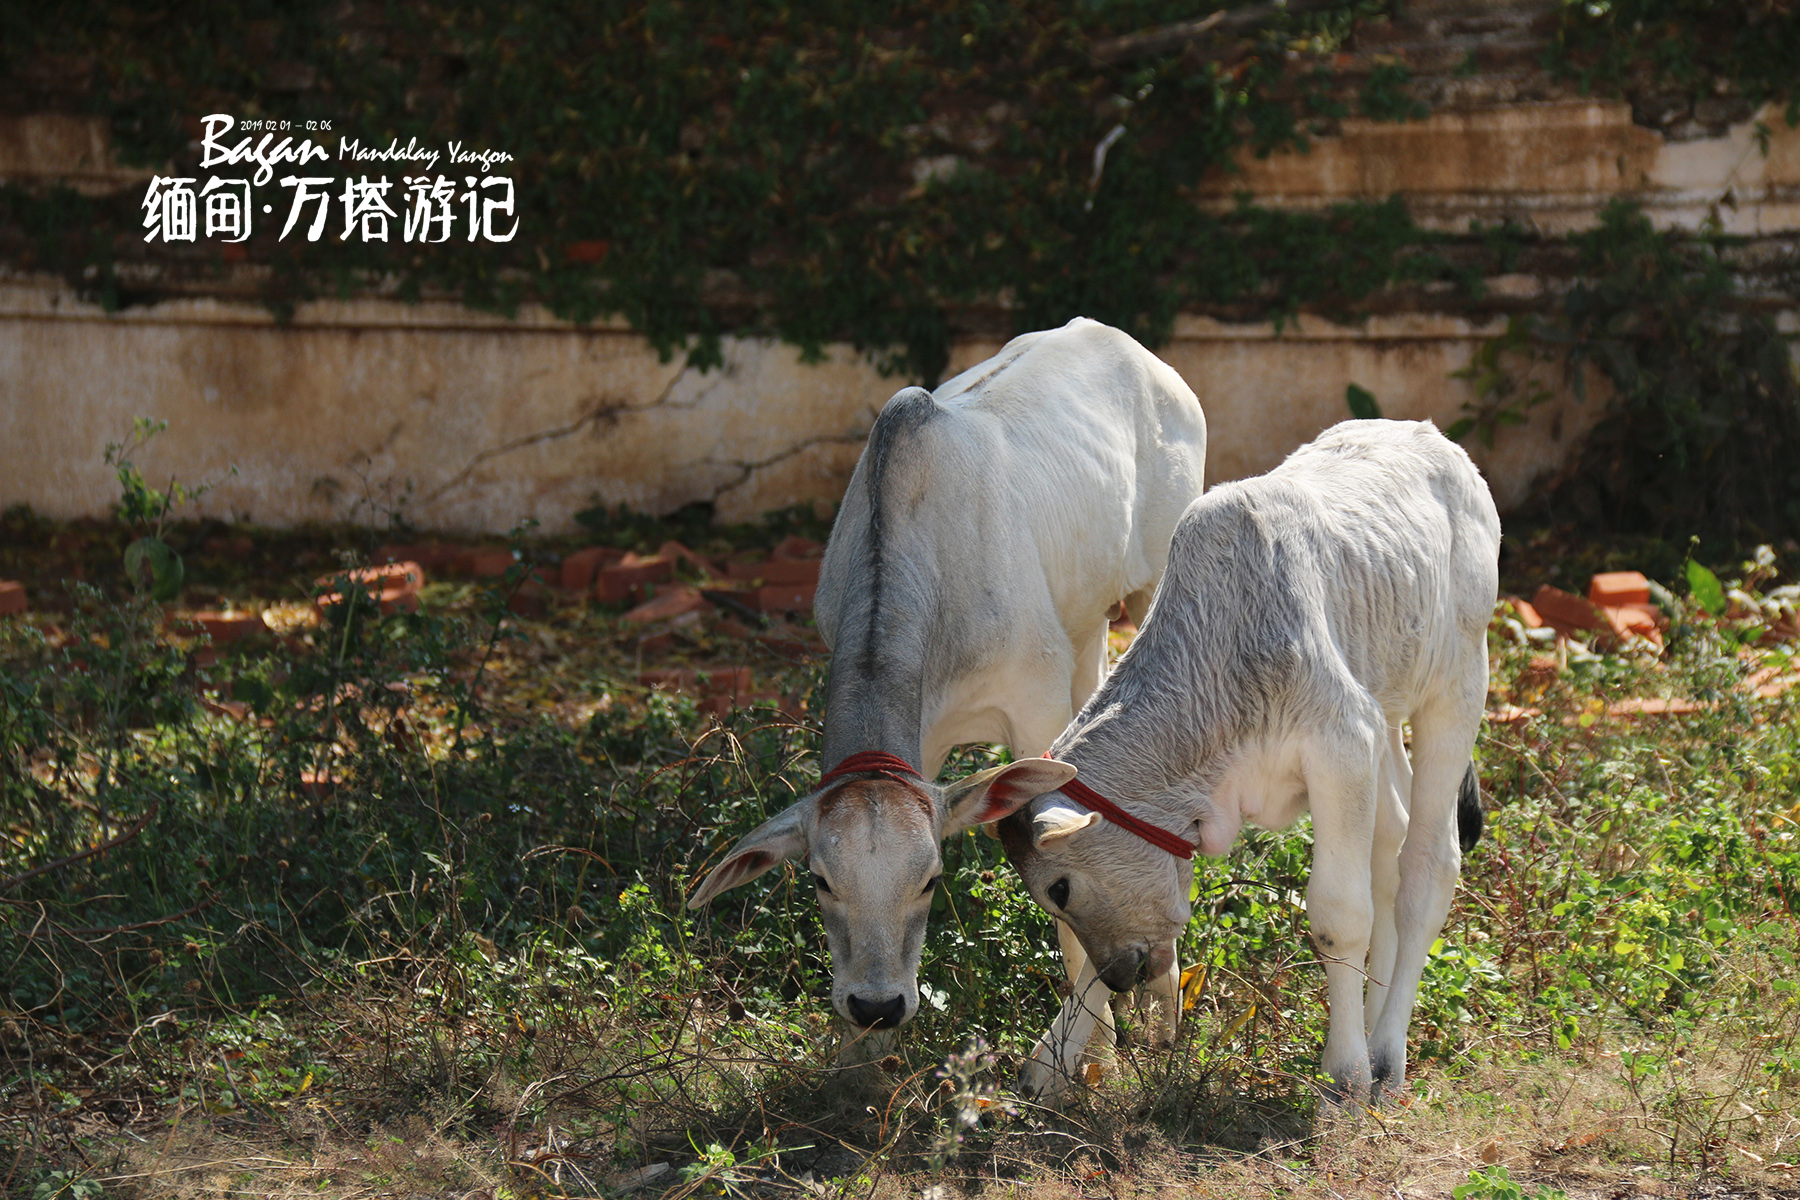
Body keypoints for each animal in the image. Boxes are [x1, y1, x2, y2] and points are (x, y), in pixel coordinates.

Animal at [687, 318, 1209, 1050]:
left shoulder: (1034, 707)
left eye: (932, 879)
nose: (876, 1004)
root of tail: (1129, 346)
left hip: (1151, 584)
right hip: (1082, 626)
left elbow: (1068, 880)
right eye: (819, 879)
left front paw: (1087, 1051)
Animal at [979, 422, 1497, 1108]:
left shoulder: (1342, 742)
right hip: (1385, 712)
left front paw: (1346, 1071)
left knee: (1427, 864)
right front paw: (1051, 1062)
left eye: (1059, 889)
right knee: (1391, 846)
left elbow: (1339, 916)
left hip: (1457, 686)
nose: (1122, 975)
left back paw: (1386, 1054)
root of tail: (1433, 439)